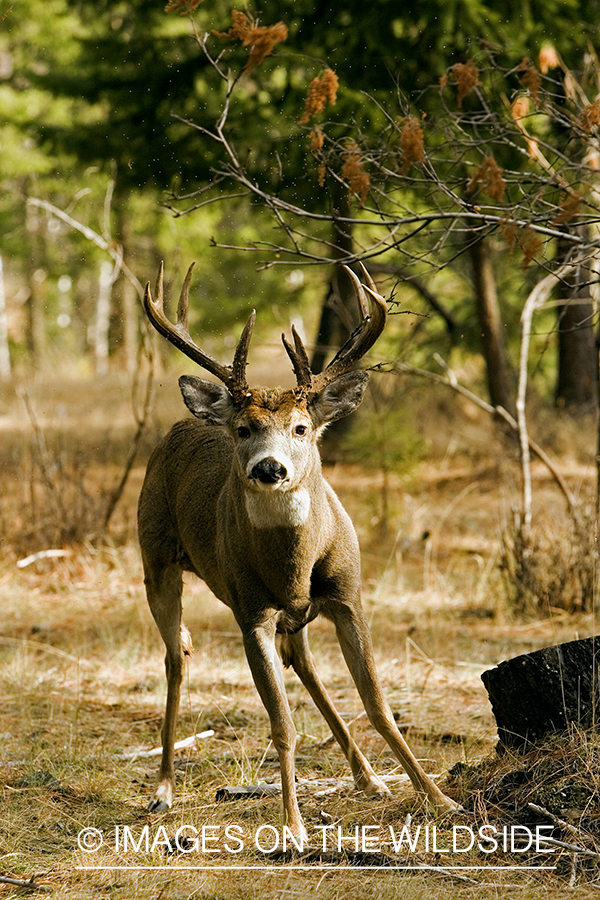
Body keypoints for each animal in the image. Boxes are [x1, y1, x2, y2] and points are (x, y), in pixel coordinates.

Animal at [138, 262, 458, 836]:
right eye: (245, 429)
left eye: (301, 427)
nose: (269, 467)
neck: (294, 567)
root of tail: (184, 422)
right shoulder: (251, 612)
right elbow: (281, 724)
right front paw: (292, 826)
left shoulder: (349, 595)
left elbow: (378, 704)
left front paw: (440, 799)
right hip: (154, 554)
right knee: (176, 657)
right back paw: (163, 790)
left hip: (296, 613)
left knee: (303, 661)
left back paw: (369, 778)